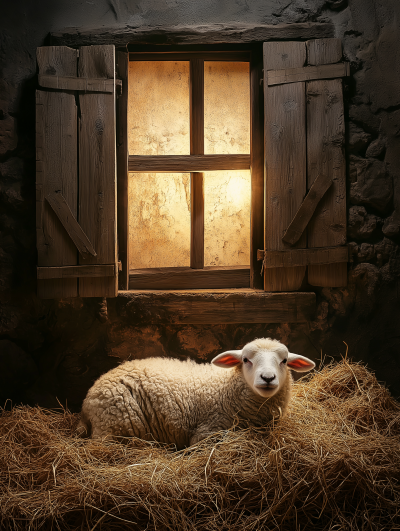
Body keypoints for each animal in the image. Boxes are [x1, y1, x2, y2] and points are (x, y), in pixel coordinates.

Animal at [77, 338, 316, 446]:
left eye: (284, 361)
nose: (267, 378)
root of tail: (87, 401)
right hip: (113, 426)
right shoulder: (207, 432)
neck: (225, 388)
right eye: (246, 360)